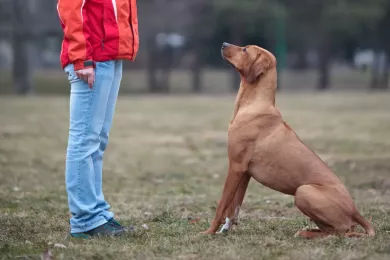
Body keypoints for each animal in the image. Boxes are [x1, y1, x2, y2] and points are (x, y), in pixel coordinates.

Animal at [201, 43, 374, 240]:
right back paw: (307, 231)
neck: (254, 104)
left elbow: (222, 205)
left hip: (303, 192)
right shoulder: (244, 172)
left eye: (245, 49)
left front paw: (209, 232)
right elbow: (234, 207)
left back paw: (306, 233)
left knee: (342, 231)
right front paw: (226, 229)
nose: (223, 44)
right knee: (333, 230)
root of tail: (355, 211)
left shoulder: (236, 166)